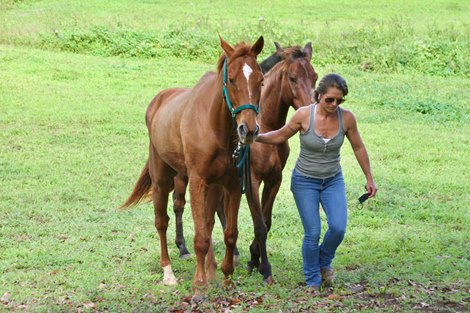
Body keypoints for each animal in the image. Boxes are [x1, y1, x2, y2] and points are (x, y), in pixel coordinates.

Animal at [121, 36, 266, 294]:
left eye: (261, 80)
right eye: (231, 79)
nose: (248, 130)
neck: (214, 126)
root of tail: (157, 102)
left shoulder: (231, 183)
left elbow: (228, 233)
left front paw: (226, 278)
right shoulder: (197, 181)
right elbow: (201, 237)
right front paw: (199, 284)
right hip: (161, 180)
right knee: (161, 222)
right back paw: (168, 272)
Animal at [168, 41, 316, 282]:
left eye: (314, 77)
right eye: (292, 78)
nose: (309, 110)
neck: (267, 127)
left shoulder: (274, 179)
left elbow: (266, 221)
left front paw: (253, 258)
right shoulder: (252, 180)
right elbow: (260, 225)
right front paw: (264, 267)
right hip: (185, 174)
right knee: (179, 202)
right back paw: (183, 247)